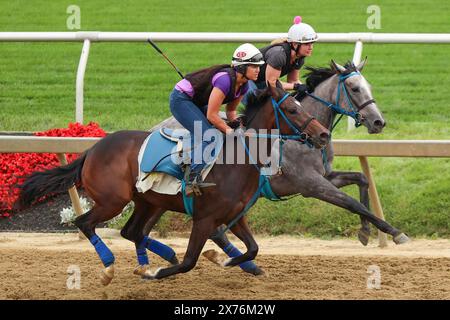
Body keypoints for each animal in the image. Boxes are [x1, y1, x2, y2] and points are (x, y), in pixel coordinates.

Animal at [14, 84, 330, 284]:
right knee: (85, 223)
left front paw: (223, 259)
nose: (324, 134)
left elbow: (253, 248)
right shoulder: (204, 218)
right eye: (291, 109)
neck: (236, 161)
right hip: (112, 201)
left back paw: (156, 258)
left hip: (147, 201)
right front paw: (160, 272)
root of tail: (91, 150)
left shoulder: (235, 214)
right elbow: (189, 261)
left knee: (132, 231)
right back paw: (110, 268)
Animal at [142, 58, 410, 274]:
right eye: (355, 88)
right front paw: (395, 232)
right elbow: (352, 203)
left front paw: (365, 231)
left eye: (369, 87)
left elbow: (361, 180)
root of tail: (153, 128)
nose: (378, 122)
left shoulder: (326, 176)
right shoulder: (310, 184)